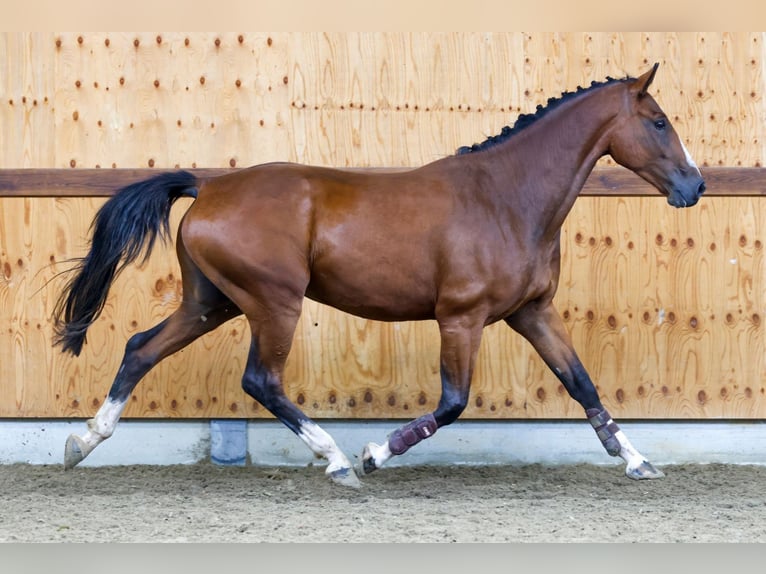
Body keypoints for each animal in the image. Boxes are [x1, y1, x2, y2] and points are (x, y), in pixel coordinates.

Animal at [54, 63, 708, 488]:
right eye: (658, 122)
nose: (695, 185)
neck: (507, 197)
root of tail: (208, 187)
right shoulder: (461, 318)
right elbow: (452, 403)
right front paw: (373, 454)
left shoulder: (533, 312)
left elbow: (583, 385)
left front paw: (638, 461)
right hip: (274, 303)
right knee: (260, 380)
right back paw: (339, 461)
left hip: (212, 303)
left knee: (141, 348)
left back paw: (81, 443)